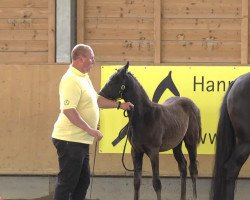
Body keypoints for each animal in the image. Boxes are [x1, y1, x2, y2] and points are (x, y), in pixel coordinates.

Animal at [98, 61, 202, 199]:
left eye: (114, 80)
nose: (100, 95)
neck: (144, 117)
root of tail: (193, 105)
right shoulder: (136, 151)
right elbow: (137, 182)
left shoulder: (154, 152)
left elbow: (156, 183)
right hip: (176, 144)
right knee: (183, 167)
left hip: (191, 142)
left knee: (193, 169)